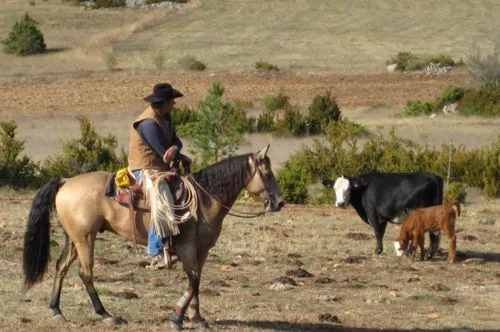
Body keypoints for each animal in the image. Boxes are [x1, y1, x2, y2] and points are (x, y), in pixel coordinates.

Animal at [23, 145, 284, 330]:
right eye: (267, 173)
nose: (280, 202)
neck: (204, 199)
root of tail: (65, 181)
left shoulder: (202, 250)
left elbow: (197, 282)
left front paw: (196, 317)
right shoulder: (187, 248)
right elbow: (193, 280)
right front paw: (177, 317)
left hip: (75, 238)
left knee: (61, 267)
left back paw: (56, 310)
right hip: (85, 239)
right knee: (85, 273)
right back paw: (106, 315)